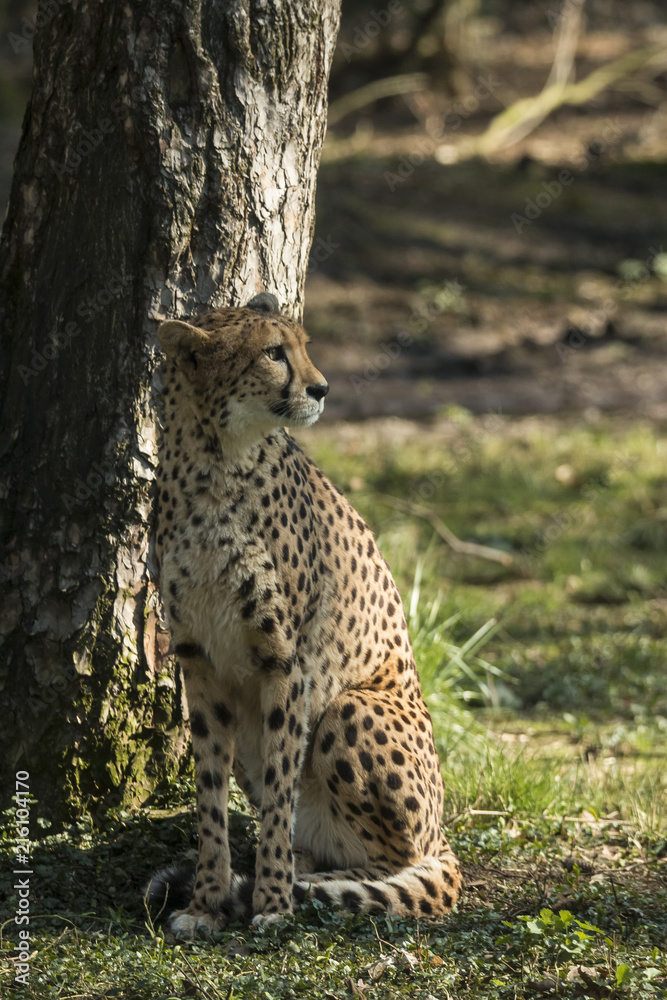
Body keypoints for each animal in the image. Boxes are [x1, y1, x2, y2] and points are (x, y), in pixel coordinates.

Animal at [149, 292, 462, 934]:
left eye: (303, 345)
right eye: (274, 353)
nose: (322, 387)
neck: (216, 466)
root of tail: (444, 833)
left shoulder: (286, 662)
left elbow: (277, 791)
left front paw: (270, 903)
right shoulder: (200, 662)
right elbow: (210, 794)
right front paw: (206, 902)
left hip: (349, 708)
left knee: (401, 861)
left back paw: (308, 886)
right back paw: (299, 873)